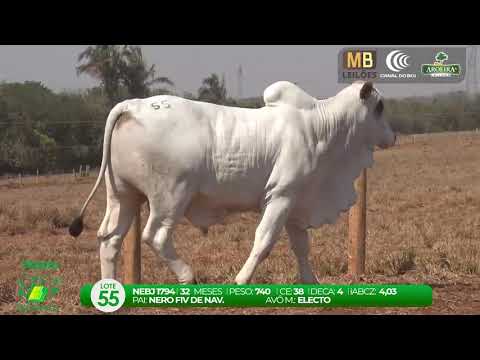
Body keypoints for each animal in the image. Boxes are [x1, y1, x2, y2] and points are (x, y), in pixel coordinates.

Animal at [69, 81, 396, 284]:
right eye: (379, 107)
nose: (393, 136)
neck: (322, 128)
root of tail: (133, 105)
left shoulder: (296, 202)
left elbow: (301, 247)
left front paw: (310, 282)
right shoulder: (280, 196)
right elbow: (264, 241)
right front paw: (242, 279)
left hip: (123, 195)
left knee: (109, 239)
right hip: (170, 196)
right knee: (155, 236)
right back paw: (187, 276)